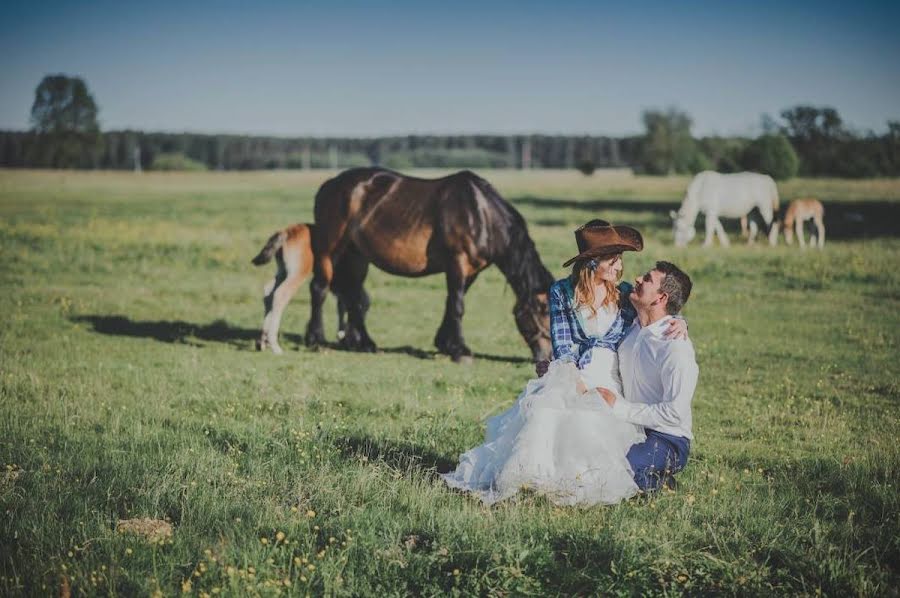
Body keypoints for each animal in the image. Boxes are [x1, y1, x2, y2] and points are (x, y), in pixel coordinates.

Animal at [306, 170, 552, 366]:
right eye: (545, 310)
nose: (548, 357)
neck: (480, 214)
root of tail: (329, 185)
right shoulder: (457, 262)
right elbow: (458, 306)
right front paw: (461, 351)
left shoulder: (471, 271)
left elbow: (451, 304)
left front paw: (445, 344)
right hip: (330, 250)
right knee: (320, 288)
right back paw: (316, 339)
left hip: (357, 255)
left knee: (354, 296)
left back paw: (363, 343)